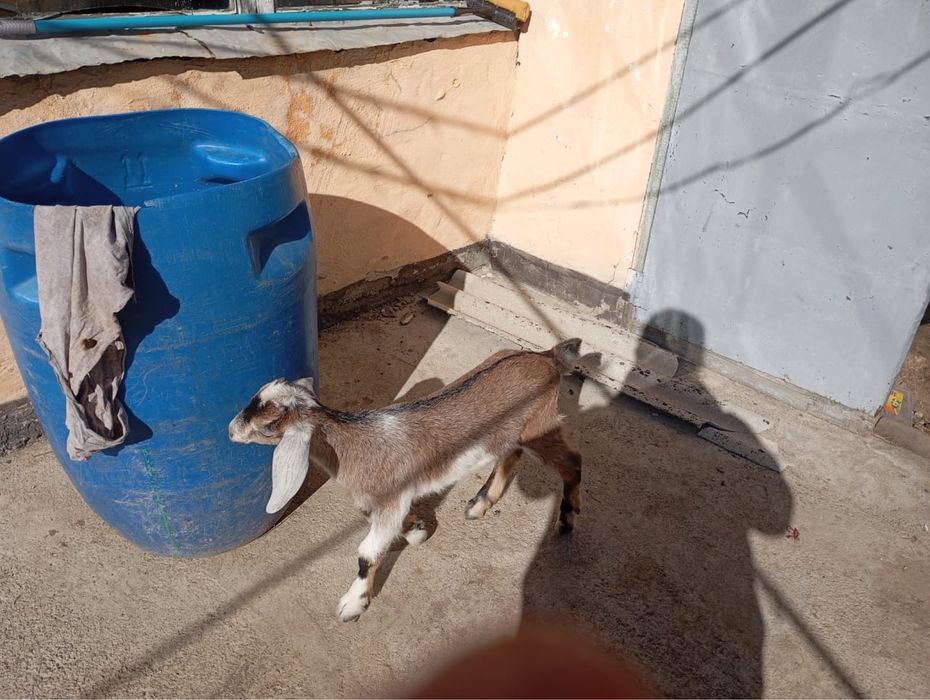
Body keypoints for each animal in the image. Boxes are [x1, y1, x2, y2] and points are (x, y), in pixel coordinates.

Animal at [228, 339, 583, 621]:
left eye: (269, 425)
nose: (230, 431)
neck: (355, 444)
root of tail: (546, 356)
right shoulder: (383, 503)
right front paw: (417, 529)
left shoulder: (390, 500)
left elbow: (366, 553)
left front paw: (352, 605)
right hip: (513, 433)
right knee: (511, 455)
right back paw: (479, 504)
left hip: (540, 426)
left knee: (572, 462)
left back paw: (566, 519)